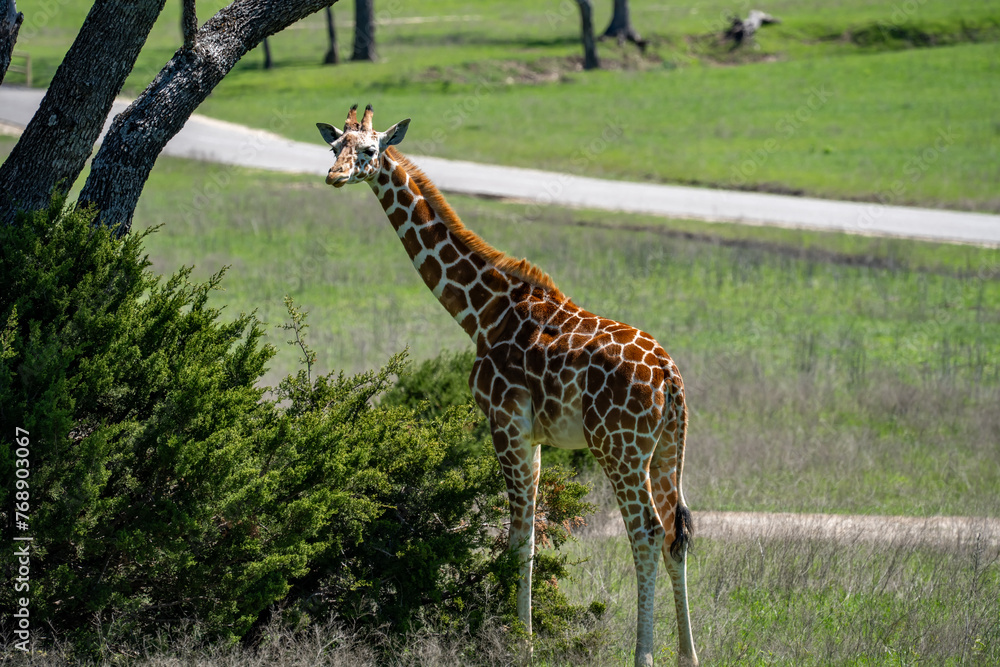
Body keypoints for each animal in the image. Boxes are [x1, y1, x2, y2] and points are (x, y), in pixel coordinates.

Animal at [316, 105, 698, 667]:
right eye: (333, 147)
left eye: (367, 150)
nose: (335, 176)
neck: (480, 312)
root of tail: (670, 377)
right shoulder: (534, 435)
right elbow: (532, 538)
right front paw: (523, 635)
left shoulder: (504, 421)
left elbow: (517, 537)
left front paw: (520, 643)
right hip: (667, 447)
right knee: (677, 534)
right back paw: (688, 656)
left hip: (619, 446)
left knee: (646, 533)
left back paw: (643, 656)